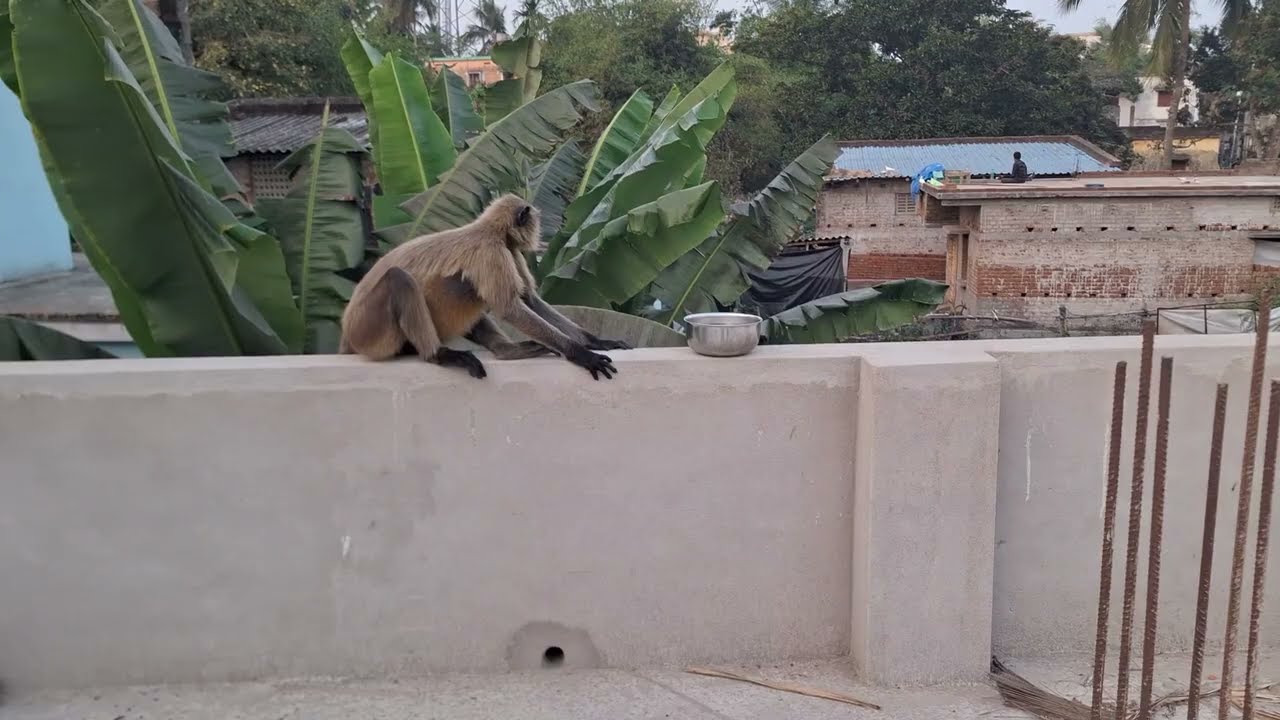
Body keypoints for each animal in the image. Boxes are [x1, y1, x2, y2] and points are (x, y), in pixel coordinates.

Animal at [339, 194, 631, 380]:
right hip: (370, 330)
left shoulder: (509, 250)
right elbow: (510, 308)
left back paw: (508, 351)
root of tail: (346, 332)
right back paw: (439, 355)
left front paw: (596, 341)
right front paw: (580, 353)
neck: (489, 229)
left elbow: (529, 299)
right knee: (400, 279)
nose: (539, 232)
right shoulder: (493, 252)